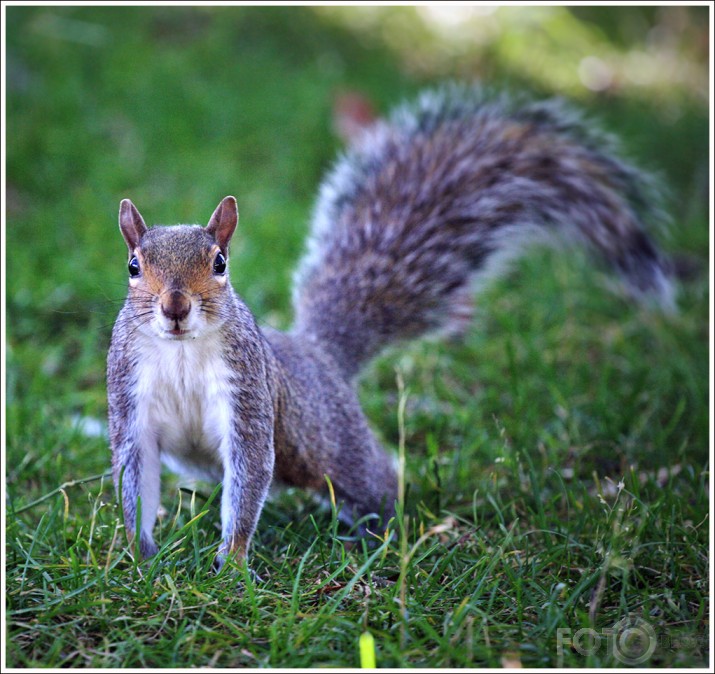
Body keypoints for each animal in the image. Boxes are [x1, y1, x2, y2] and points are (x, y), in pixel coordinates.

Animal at [107, 82, 676, 568]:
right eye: (133, 266)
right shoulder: (130, 400)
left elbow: (249, 474)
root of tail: (321, 354)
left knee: (375, 479)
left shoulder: (247, 395)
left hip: (338, 445)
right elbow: (136, 476)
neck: (182, 348)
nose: (175, 307)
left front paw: (234, 561)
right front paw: (138, 556)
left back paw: (382, 528)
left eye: (220, 263)